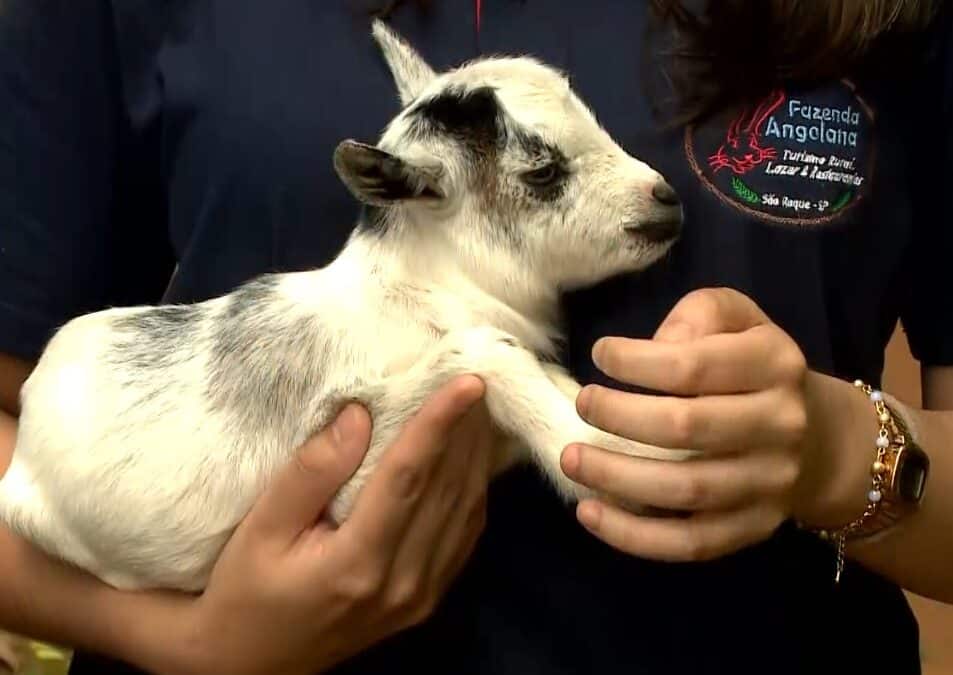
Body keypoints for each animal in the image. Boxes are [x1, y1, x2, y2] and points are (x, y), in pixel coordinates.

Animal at [0, 21, 692, 592]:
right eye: (543, 172)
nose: (665, 198)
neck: (417, 293)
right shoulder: (348, 481)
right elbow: (489, 357)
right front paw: (633, 454)